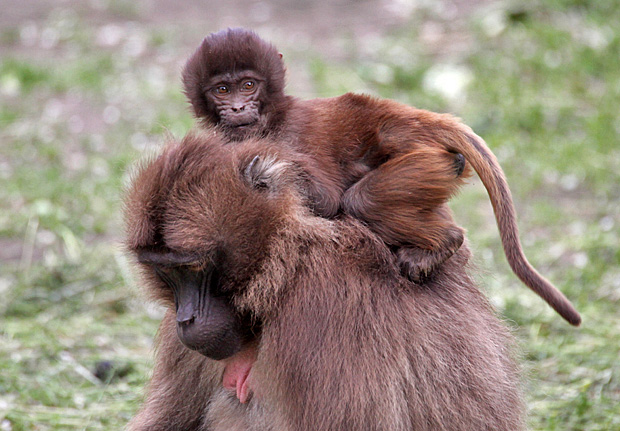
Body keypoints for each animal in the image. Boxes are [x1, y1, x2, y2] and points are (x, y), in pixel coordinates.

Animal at [182, 27, 580, 326]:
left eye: (248, 85)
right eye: (222, 90)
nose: (237, 108)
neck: (272, 117)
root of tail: (399, 116)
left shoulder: (291, 135)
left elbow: (325, 199)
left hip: (428, 162)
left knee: (361, 201)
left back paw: (445, 242)